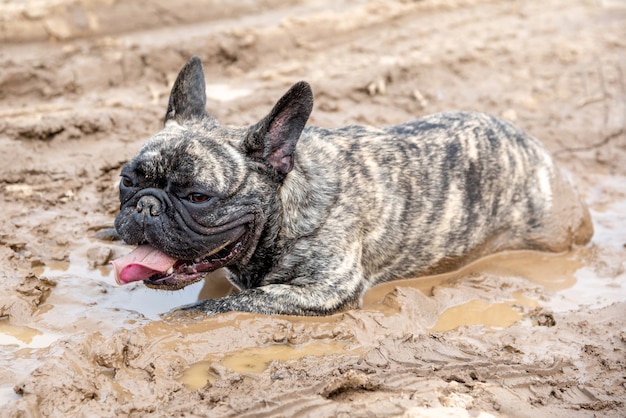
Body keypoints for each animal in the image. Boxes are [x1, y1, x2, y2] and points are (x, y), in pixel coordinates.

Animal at [109, 56, 592, 316]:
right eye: (127, 181)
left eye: (198, 197)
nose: (146, 206)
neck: (286, 210)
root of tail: (545, 157)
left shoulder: (324, 291)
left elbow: (224, 304)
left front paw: (184, 314)